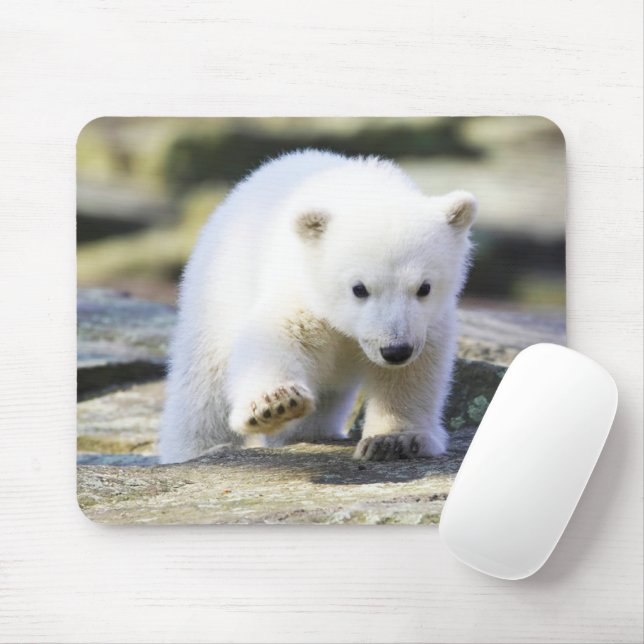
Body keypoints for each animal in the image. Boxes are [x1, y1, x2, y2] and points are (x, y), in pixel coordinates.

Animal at [158, 149, 476, 464]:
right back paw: (200, 449)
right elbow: (276, 334)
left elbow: (413, 372)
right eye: (359, 288)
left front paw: (393, 440)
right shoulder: (303, 286)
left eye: (424, 287)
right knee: (203, 384)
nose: (395, 350)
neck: (364, 190)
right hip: (218, 290)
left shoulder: (427, 322)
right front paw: (275, 404)